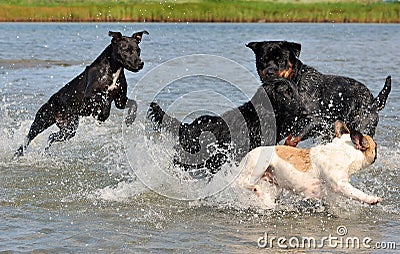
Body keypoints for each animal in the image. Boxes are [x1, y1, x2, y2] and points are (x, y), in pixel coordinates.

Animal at [14, 29, 148, 157]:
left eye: (139, 50)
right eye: (126, 50)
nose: (140, 63)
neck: (113, 70)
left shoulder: (120, 100)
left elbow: (133, 103)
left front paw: (130, 119)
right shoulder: (90, 95)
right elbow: (103, 99)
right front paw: (102, 115)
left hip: (69, 129)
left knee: (51, 136)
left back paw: (44, 151)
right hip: (42, 120)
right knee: (28, 137)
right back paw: (19, 153)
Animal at [238, 120, 382, 205]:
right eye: (375, 148)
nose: (377, 153)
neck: (344, 151)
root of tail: (247, 155)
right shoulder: (340, 185)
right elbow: (357, 193)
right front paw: (371, 199)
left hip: (274, 182)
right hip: (259, 165)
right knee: (242, 182)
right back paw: (256, 189)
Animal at [245, 40, 392, 146]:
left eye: (281, 60)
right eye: (262, 60)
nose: (269, 72)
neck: (296, 82)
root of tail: (374, 101)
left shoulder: (317, 120)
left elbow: (291, 139)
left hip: (363, 125)